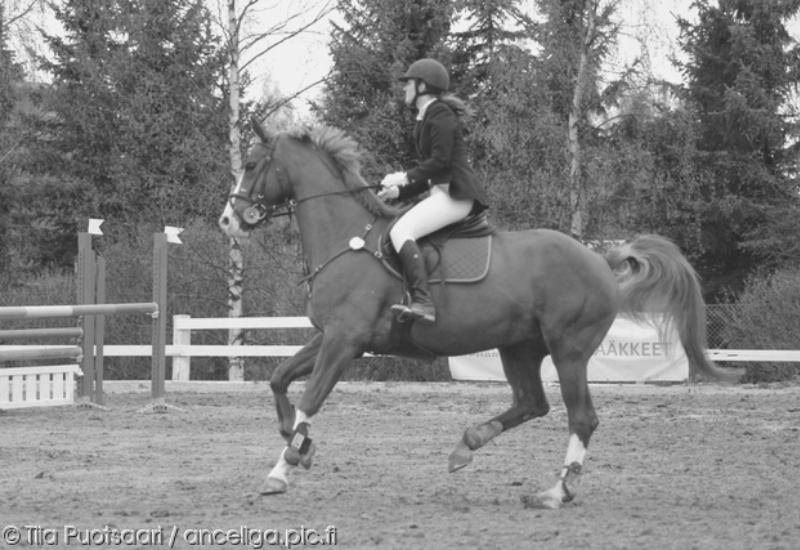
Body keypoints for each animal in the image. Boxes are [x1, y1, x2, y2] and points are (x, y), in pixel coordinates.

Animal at [218, 121, 737, 509]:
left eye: (251, 165)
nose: (228, 220)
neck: (349, 239)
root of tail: (600, 260)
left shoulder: (344, 341)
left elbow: (310, 400)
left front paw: (281, 470)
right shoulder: (331, 337)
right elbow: (280, 381)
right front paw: (300, 447)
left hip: (568, 351)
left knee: (580, 417)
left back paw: (556, 491)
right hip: (519, 348)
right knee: (533, 403)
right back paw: (467, 445)